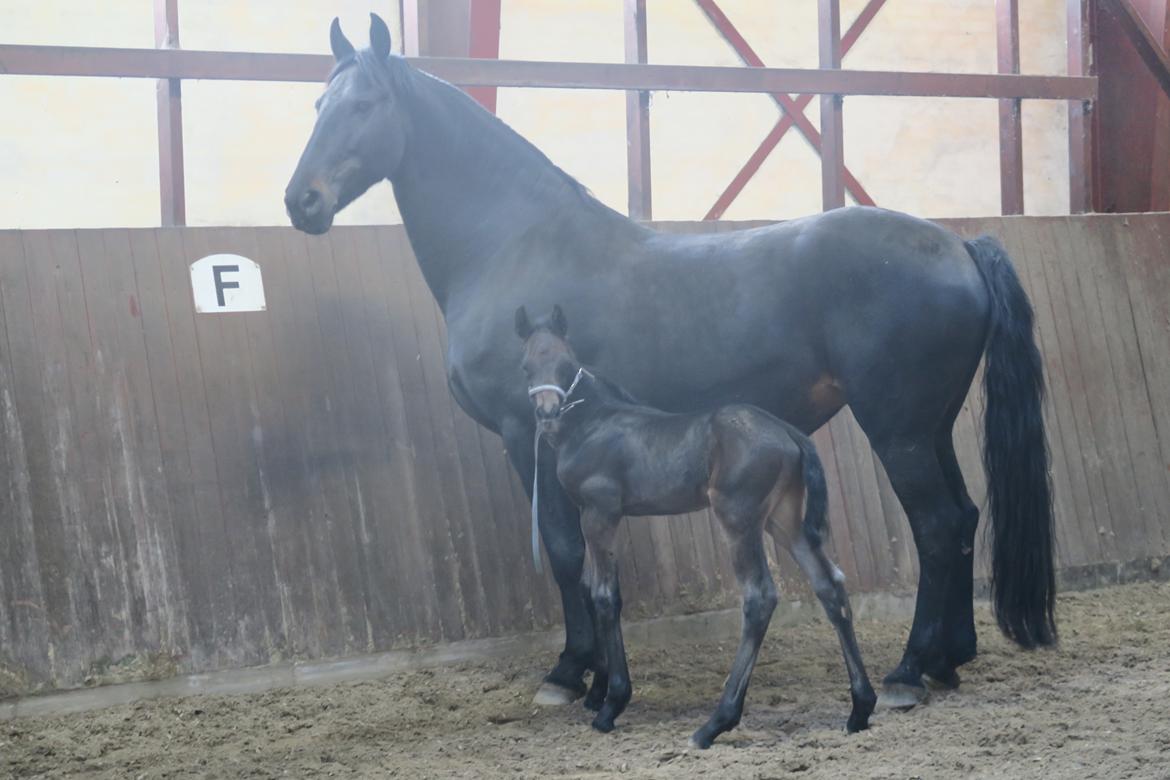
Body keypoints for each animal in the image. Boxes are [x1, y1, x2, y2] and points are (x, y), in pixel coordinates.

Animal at [517, 306, 875, 748]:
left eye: (567, 364)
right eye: (526, 365)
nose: (547, 413)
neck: (594, 422)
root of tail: (789, 432)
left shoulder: (600, 513)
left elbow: (604, 596)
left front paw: (611, 703)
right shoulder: (592, 515)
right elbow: (588, 588)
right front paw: (598, 691)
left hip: (739, 519)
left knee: (760, 597)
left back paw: (715, 723)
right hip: (784, 519)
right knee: (830, 585)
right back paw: (860, 708)